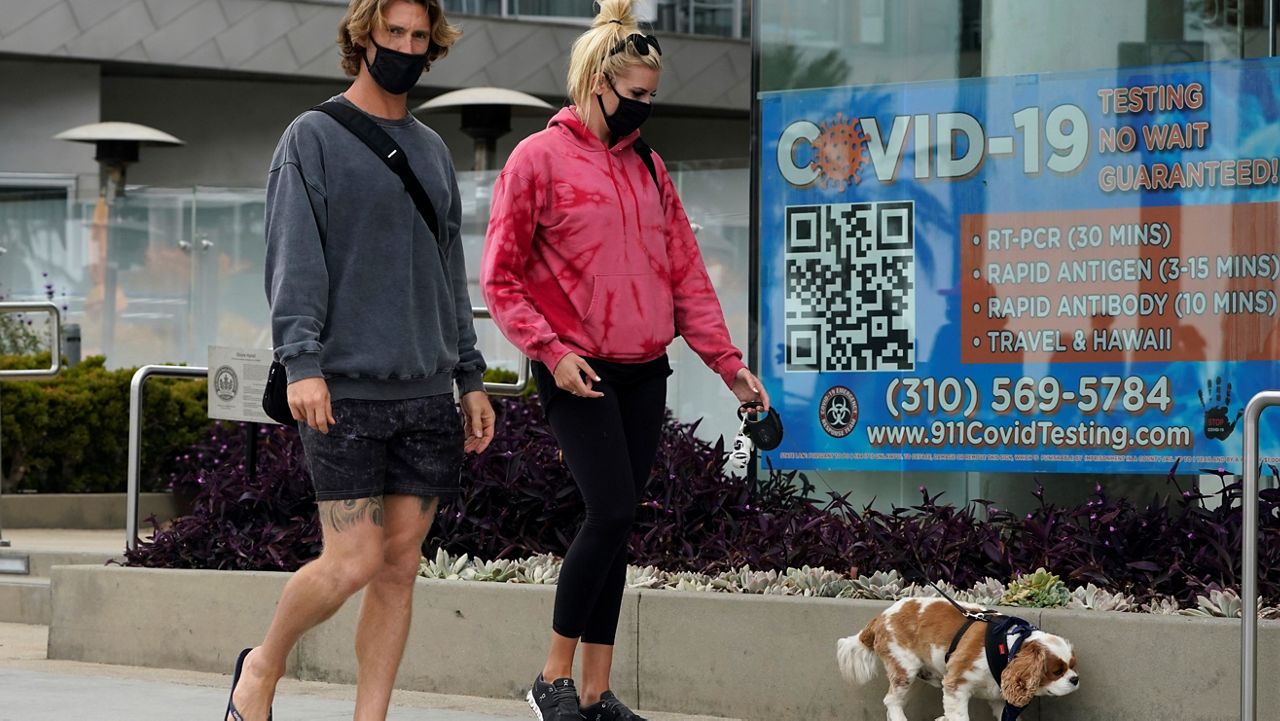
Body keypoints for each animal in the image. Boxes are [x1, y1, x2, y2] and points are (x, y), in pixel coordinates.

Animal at [839, 599, 1080, 721]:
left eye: (1072, 666)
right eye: (1057, 671)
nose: (1075, 679)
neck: (1009, 646)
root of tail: (879, 617)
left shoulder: (998, 696)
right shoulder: (956, 686)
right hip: (904, 670)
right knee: (891, 701)